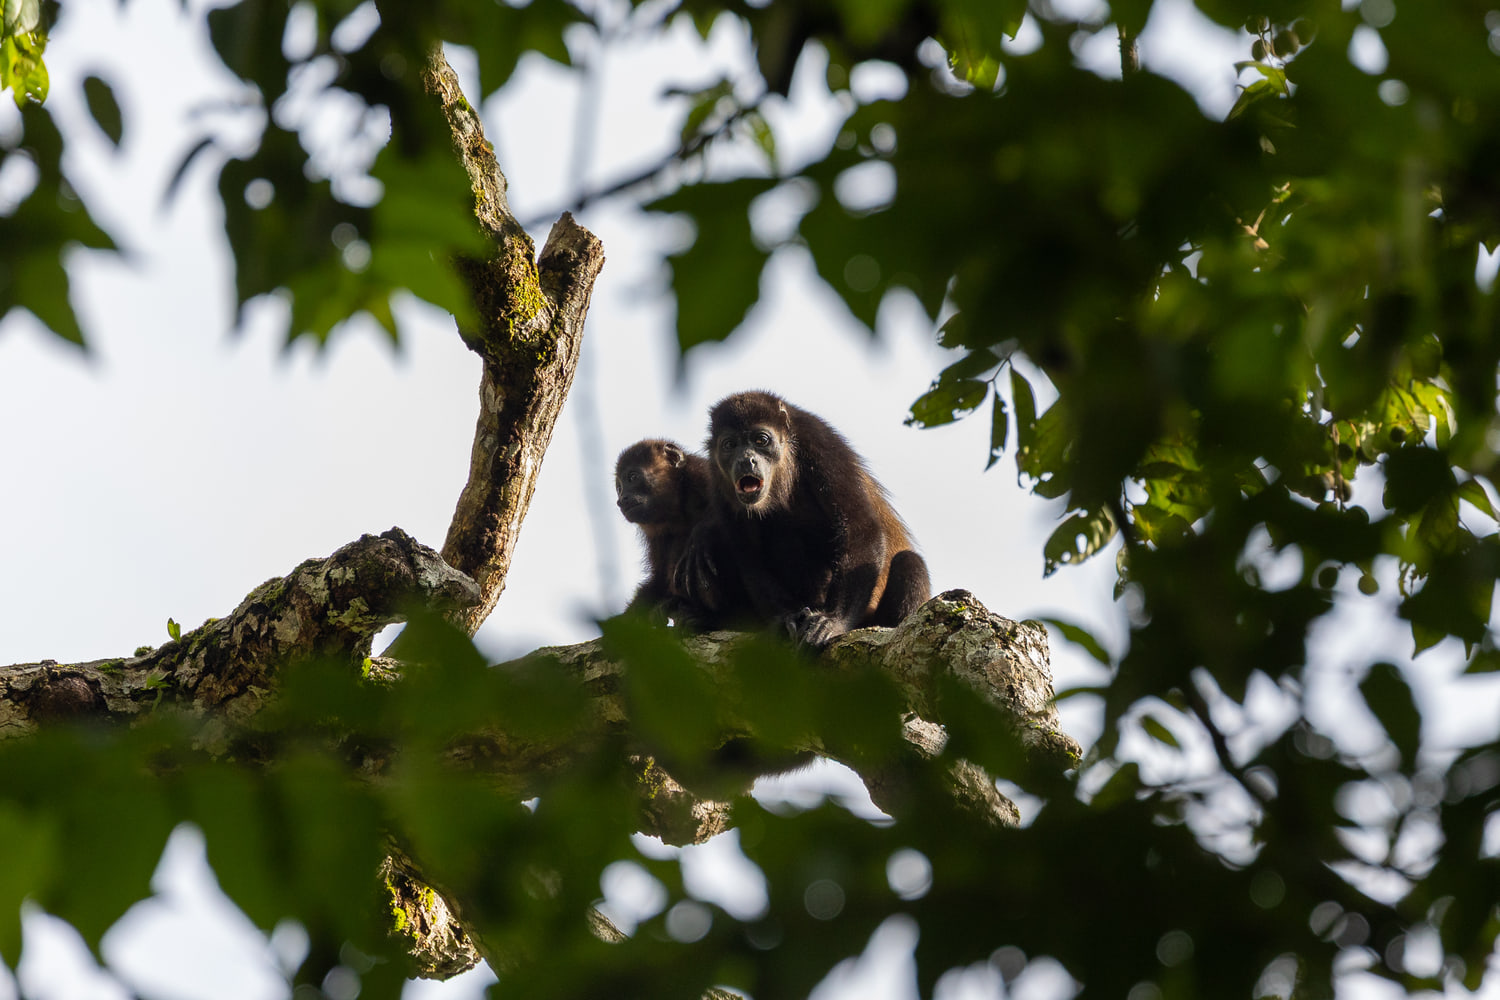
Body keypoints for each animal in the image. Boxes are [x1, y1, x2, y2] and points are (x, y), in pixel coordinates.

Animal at [614, 439, 714, 623]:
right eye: (619, 488)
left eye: (632, 477)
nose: (621, 500)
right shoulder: (654, 536)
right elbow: (658, 580)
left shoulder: (702, 475)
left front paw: (702, 535)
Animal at [679, 391, 932, 650]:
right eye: (729, 445)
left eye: (761, 440)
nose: (746, 460)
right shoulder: (718, 480)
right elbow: (748, 555)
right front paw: (785, 619)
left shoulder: (820, 440)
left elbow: (861, 527)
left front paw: (835, 622)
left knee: (910, 562)